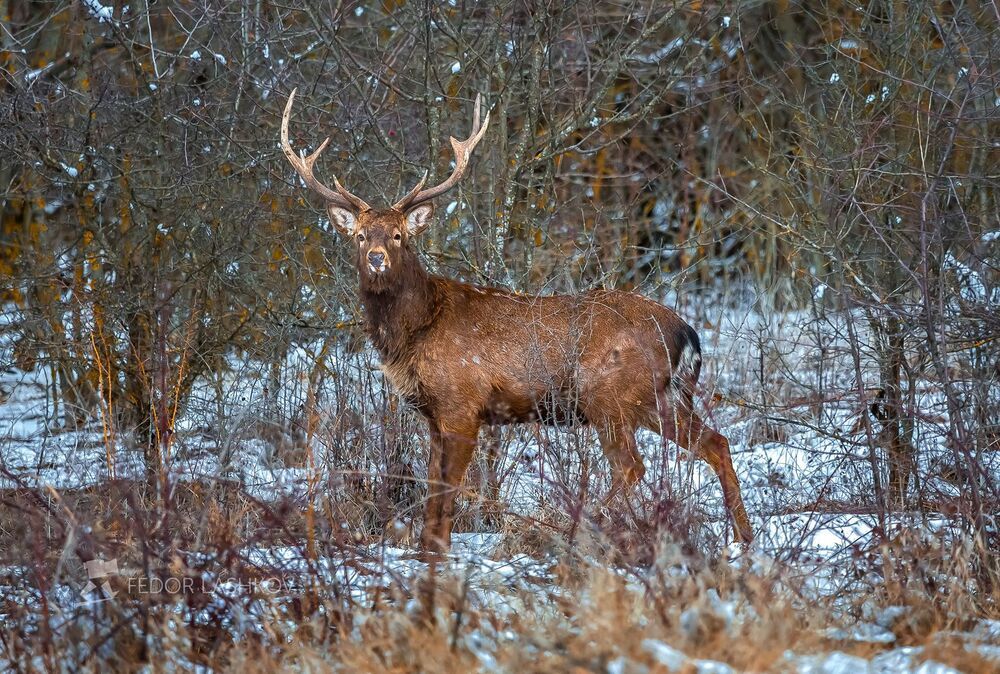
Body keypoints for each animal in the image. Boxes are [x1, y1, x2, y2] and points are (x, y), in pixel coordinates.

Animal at [281, 90, 753, 552]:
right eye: (361, 236)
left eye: (399, 235)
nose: (377, 257)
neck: (415, 331)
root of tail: (686, 332)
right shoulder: (434, 416)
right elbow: (433, 492)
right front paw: (424, 552)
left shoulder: (462, 404)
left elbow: (447, 492)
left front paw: (437, 553)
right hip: (658, 397)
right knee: (716, 442)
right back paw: (743, 540)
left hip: (610, 395)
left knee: (632, 467)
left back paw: (581, 529)